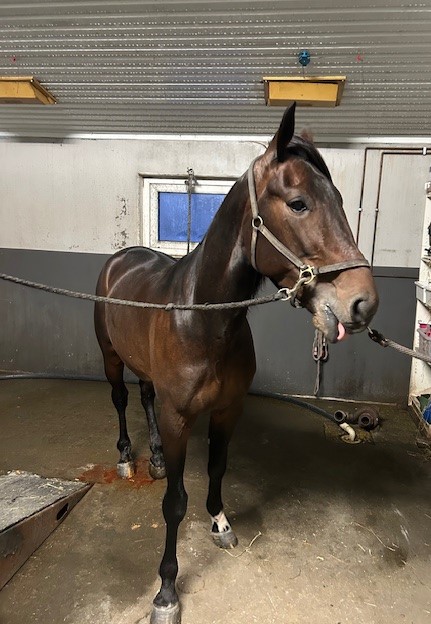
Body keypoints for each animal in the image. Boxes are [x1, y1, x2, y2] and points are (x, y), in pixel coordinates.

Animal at [94, 103, 378, 624]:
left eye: (340, 200)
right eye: (299, 203)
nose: (363, 303)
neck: (204, 320)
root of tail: (120, 259)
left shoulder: (228, 410)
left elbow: (218, 469)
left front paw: (220, 522)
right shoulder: (179, 417)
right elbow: (174, 504)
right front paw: (166, 591)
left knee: (144, 396)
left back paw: (156, 459)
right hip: (110, 358)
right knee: (122, 399)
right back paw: (126, 458)